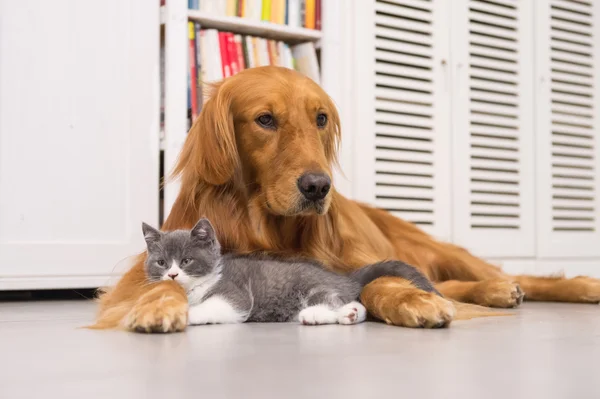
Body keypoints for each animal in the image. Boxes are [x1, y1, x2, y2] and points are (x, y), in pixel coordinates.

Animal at [142, 219, 438, 328]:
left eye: (186, 260)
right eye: (161, 262)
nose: (172, 275)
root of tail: (344, 276)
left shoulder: (234, 294)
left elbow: (215, 307)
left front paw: (185, 314)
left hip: (310, 284)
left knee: (331, 298)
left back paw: (315, 315)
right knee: (354, 304)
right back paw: (350, 314)